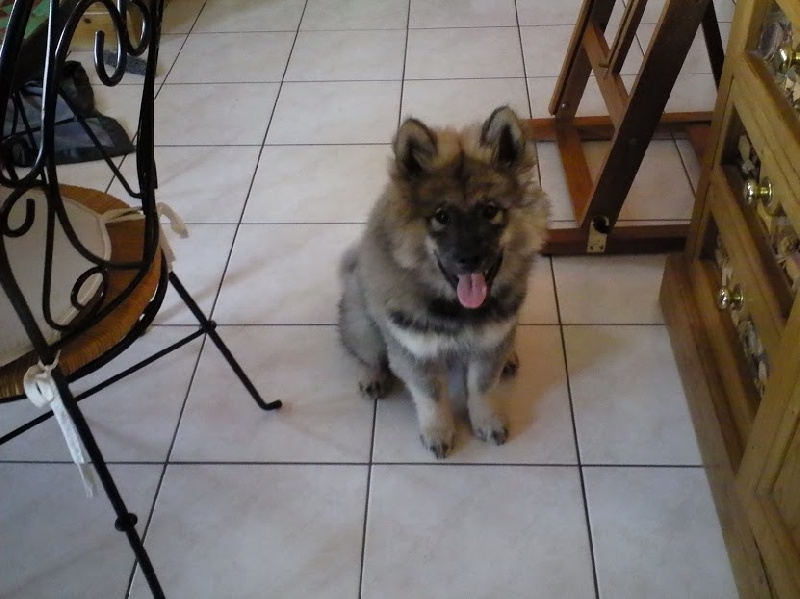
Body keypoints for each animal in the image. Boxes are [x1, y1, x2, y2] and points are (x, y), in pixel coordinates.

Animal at [337, 106, 549, 458]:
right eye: (441, 217)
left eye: (490, 211)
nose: (468, 259)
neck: (458, 310)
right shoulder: (416, 352)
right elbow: (432, 398)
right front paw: (438, 432)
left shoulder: (488, 345)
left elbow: (482, 387)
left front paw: (486, 420)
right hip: (361, 319)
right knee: (364, 351)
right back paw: (372, 375)